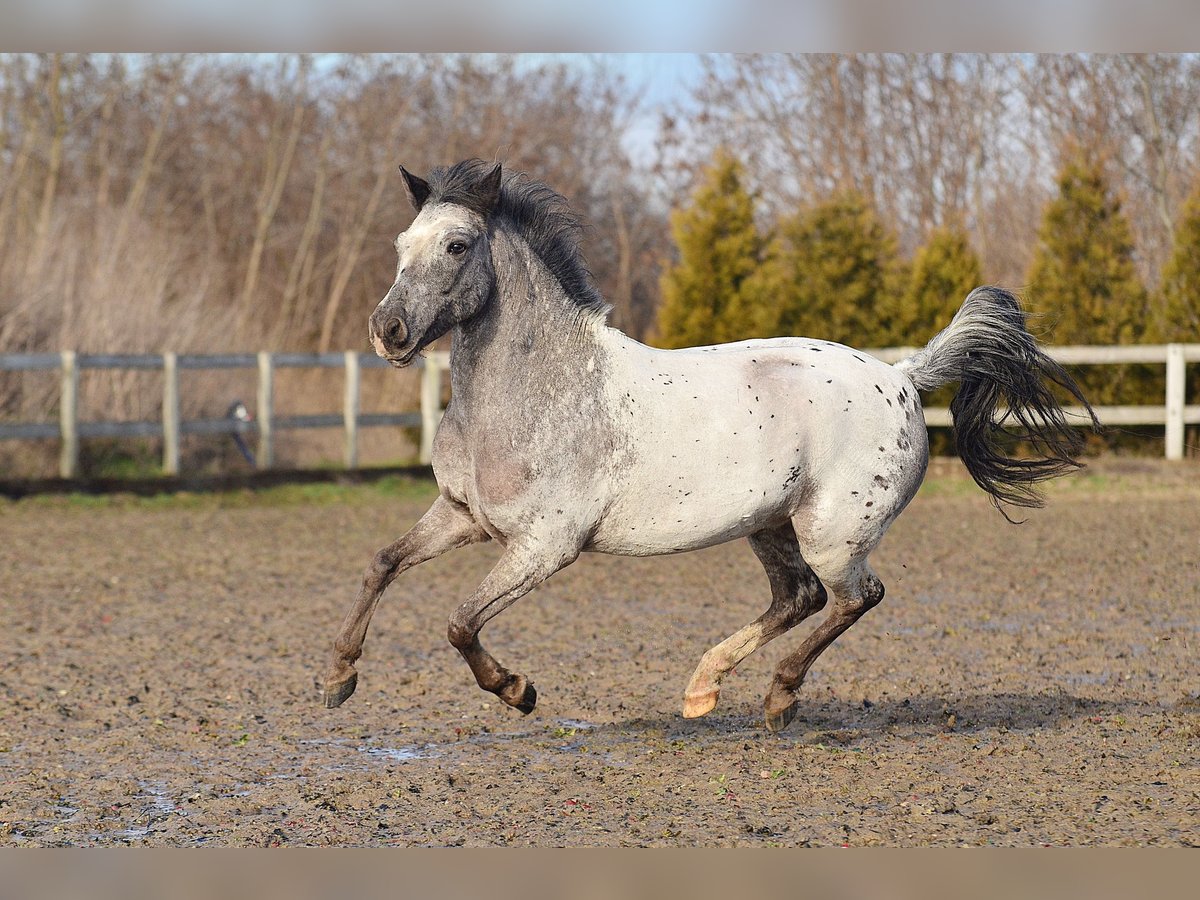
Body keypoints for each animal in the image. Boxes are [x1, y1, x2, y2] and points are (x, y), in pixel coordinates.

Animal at [316, 158, 1099, 734]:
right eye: (400, 248)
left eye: (456, 245)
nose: (387, 331)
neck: (540, 390)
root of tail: (903, 376)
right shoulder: (462, 515)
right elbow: (381, 564)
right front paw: (337, 678)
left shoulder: (544, 546)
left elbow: (458, 623)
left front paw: (518, 690)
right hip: (771, 524)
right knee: (799, 598)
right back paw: (703, 689)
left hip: (834, 531)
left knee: (855, 598)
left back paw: (779, 699)